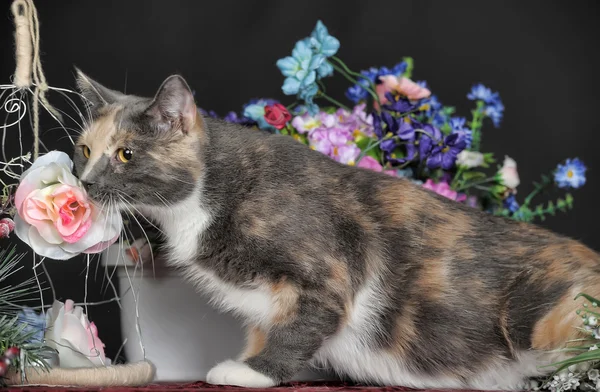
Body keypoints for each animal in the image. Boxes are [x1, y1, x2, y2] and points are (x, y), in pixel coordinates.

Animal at [72, 69, 596, 388]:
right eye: (84, 150)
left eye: (126, 154)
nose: (85, 181)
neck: (203, 197)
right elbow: (266, 323)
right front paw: (249, 358)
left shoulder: (329, 269)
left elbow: (300, 325)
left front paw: (254, 372)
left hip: (542, 319)